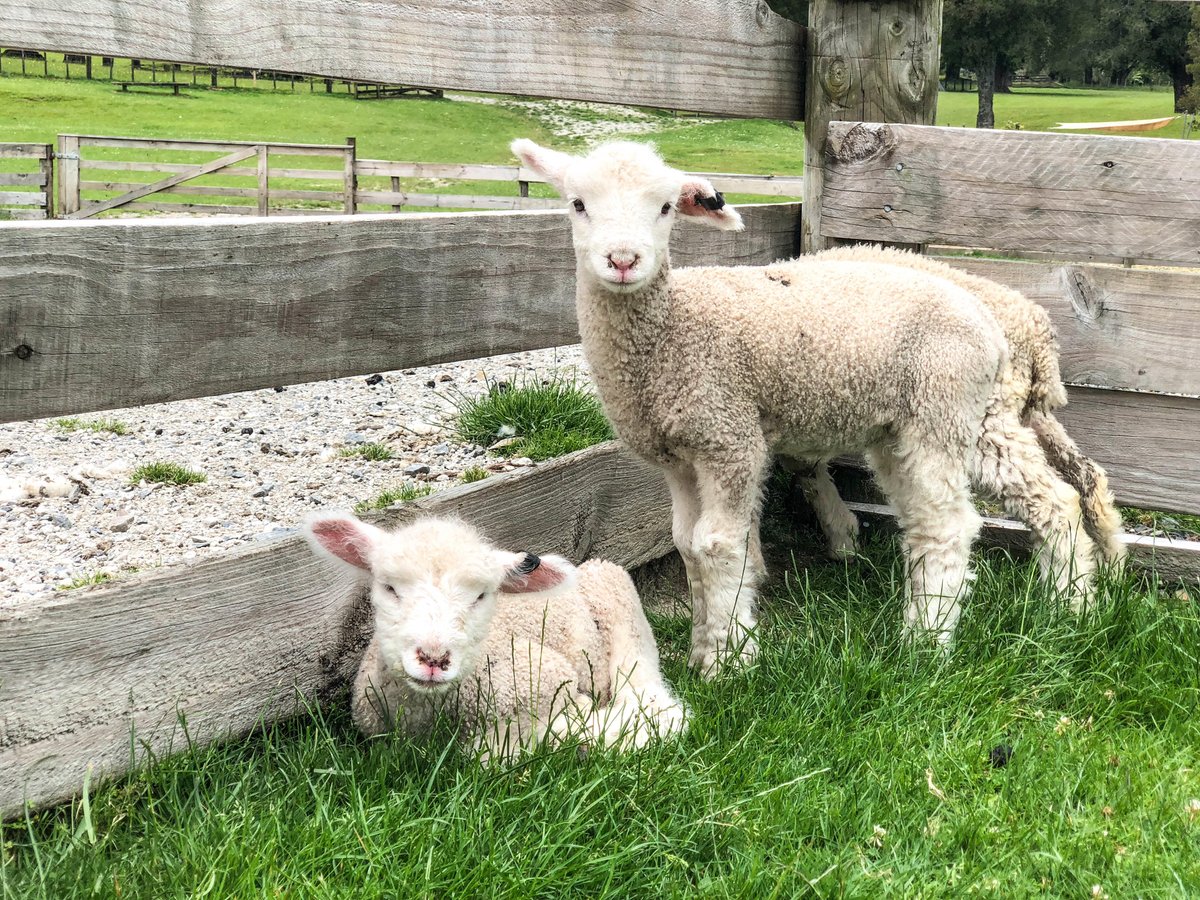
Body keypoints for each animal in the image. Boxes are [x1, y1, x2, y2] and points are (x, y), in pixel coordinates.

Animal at [793, 244, 1126, 567]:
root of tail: (1036, 328)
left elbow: (805, 469)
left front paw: (841, 538)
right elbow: (805, 468)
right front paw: (842, 536)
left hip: (980, 416)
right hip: (1026, 414)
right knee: (1087, 474)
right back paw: (1110, 566)